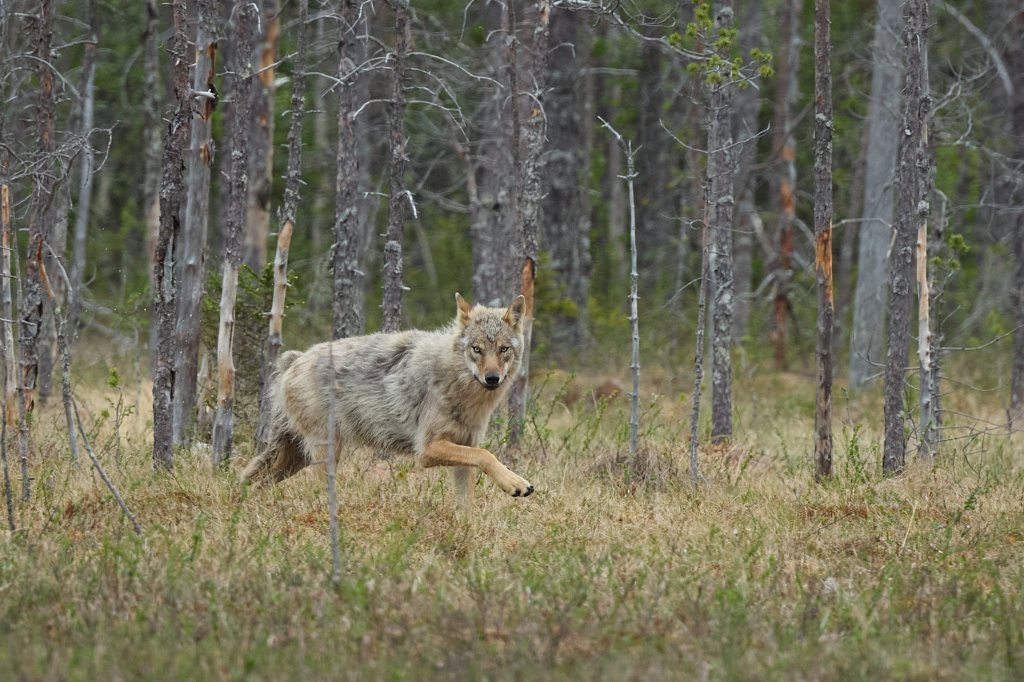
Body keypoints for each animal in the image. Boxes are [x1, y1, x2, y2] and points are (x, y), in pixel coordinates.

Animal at [241, 293, 535, 506]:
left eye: (503, 349)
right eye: (477, 349)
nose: (492, 378)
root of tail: (295, 359)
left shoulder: (465, 448)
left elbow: (467, 502)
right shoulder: (427, 450)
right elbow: (487, 455)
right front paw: (517, 483)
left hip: (292, 459)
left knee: (250, 480)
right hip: (323, 454)